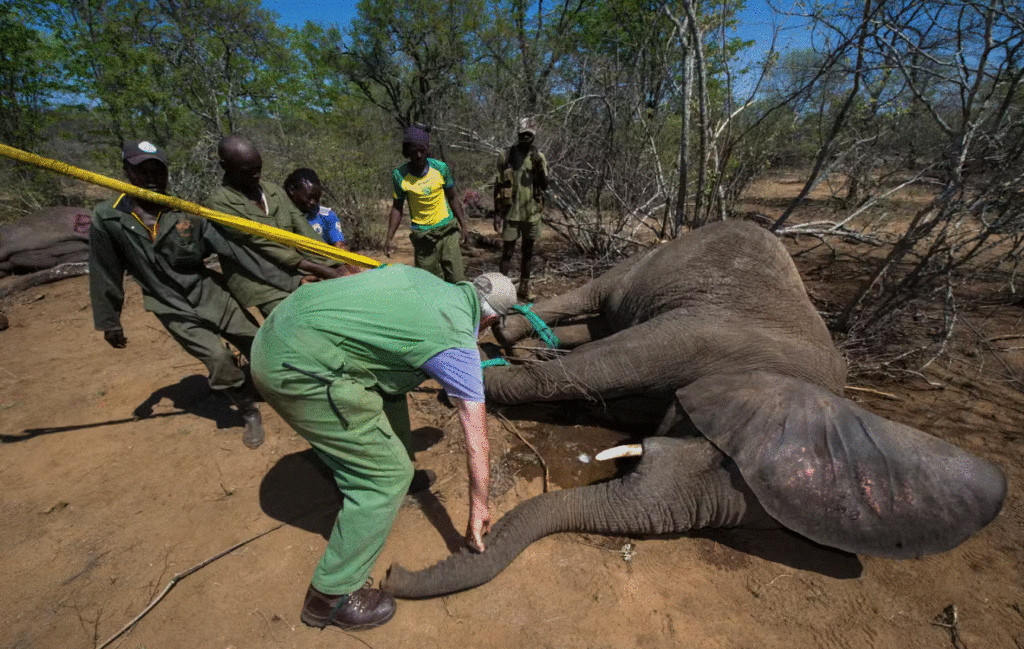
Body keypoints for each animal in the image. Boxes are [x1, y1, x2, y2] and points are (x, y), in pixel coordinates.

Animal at [385, 221, 1007, 597]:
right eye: (719, 447)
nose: (390, 573)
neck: (794, 384)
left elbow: (608, 380)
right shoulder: (705, 332)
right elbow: (603, 366)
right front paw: (457, 383)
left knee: (594, 328)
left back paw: (521, 342)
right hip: (648, 261)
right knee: (596, 302)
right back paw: (509, 335)